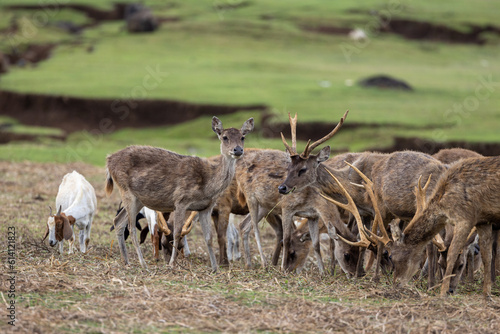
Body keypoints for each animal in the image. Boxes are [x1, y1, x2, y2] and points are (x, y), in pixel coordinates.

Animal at [105, 117, 254, 272]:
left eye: (242, 137)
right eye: (225, 137)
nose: (238, 149)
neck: (207, 184)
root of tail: (109, 160)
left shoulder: (206, 207)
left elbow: (208, 237)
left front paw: (215, 268)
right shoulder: (181, 201)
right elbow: (176, 233)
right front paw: (172, 263)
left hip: (138, 199)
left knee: (118, 221)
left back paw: (126, 261)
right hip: (126, 190)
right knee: (131, 227)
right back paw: (143, 264)